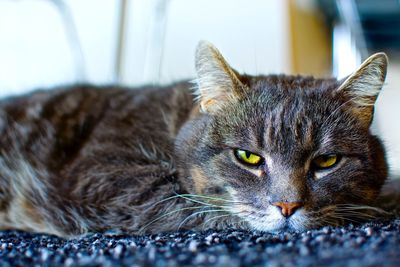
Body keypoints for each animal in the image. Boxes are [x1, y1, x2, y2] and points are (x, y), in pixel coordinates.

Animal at [0, 40, 390, 238]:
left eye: (326, 161)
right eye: (248, 157)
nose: (287, 206)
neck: (172, 125)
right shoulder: (103, 177)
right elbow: (195, 203)